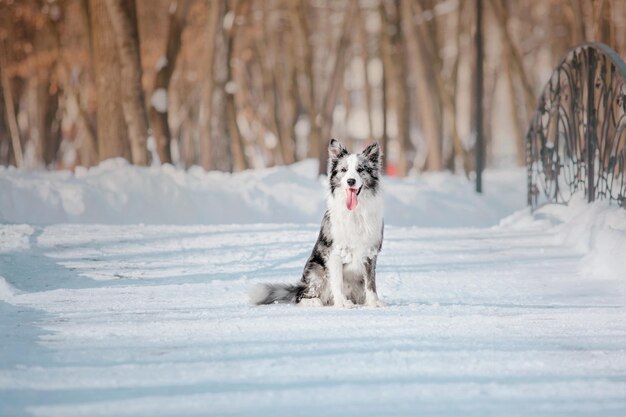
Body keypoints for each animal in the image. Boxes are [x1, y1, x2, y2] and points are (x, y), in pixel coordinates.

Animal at [249, 139, 380, 306]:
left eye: (360, 169)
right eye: (344, 170)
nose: (351, 181)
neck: (354, 212)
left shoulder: (370, 252)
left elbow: (371, 282)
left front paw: (374, 302)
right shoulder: (334, 252)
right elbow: (337, 281)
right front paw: (342, 303)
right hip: (316, 270)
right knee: (302, 296)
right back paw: (316, 302)